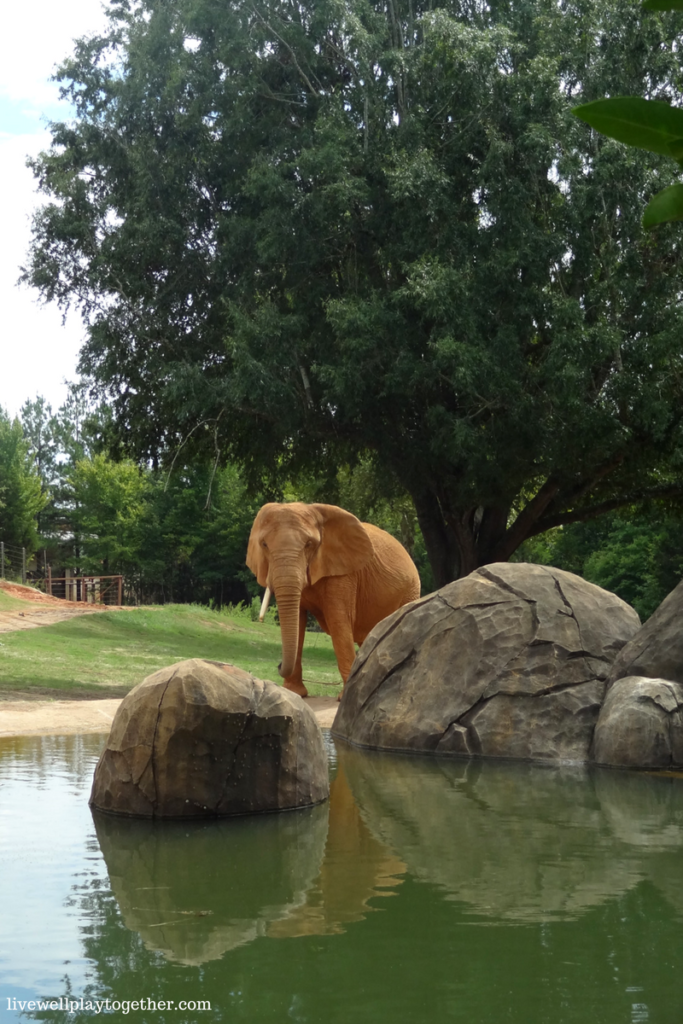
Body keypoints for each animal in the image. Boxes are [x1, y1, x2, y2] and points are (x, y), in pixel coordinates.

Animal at [245, 501, 421, 696]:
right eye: (264, 544)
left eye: (309, 544)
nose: (279, 664)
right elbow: (298, 622)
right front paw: (295, 693)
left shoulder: (343, 573)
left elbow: (338, 622)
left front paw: (345, 697)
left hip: (411, 590)